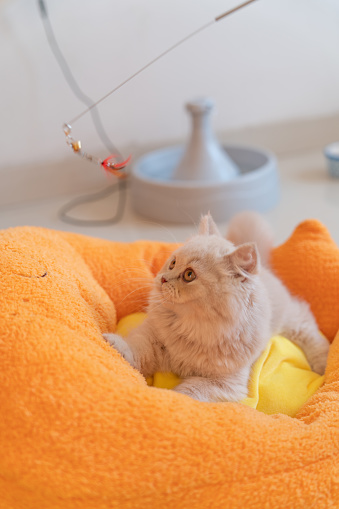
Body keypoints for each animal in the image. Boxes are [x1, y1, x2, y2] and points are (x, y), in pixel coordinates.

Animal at [105, 211, 330, 400]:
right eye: (173, 263)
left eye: (189, 275)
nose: (162, 279)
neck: (192, 328)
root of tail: (263, 268)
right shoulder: (152, 338)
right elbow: (136, 351)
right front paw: (113, 344)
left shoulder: (223, 382)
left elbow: (189, 392)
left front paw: (171, 398)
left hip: (292, 319)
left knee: (311, 333)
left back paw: (323, 367)